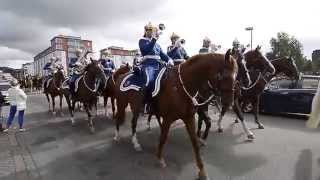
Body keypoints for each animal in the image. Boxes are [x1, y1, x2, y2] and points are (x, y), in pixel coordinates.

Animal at [113, 49, 238, 180]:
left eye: (236, 76)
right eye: (223, 76)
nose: (229, 103)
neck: (181, 86)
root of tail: (121, 76)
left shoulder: (189, 118)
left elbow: (194, 142)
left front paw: (202, 171)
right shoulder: (168, 118)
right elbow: (163, 137)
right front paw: (159, 158)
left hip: (135, 107)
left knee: (134, 122)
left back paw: (135, 142)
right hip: (123, 104)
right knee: (121, 119)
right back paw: (120, 137)